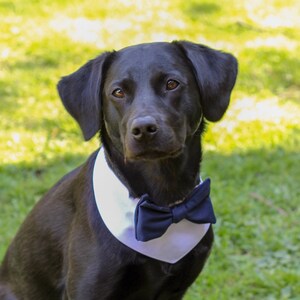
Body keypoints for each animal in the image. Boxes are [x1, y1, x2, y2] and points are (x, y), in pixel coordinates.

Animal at [1, 40, 238, 300]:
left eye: (171, 83)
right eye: (118, 92)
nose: (143, 129)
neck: (163, 205)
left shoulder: (175, 289)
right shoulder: (88, 290)